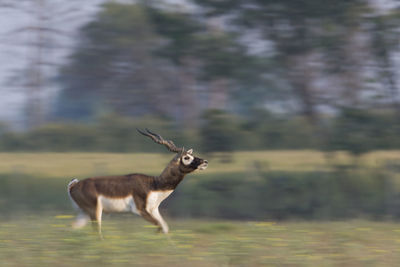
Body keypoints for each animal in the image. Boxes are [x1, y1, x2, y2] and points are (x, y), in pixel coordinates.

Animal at [67, 129, 208, 238]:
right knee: (96, 232)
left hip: (85, 213)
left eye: (192, 155)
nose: (205, 162)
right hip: (95, 211)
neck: (154, 185)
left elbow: (165, 228)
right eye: (186, 157)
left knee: (72, 227)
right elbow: (159, 227)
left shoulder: (154, 210)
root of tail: (73, 185)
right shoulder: (140, 210)